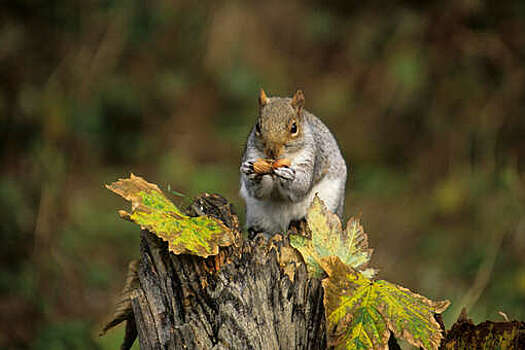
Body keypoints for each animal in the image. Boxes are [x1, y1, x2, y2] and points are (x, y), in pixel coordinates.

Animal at [239, 88, 346, 235]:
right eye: (258, 126)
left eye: (294, 128)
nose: (272, 152)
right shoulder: (252, 154)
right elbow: (257, 192)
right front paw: (252, 172)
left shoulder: (311, 157)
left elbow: (300, 188)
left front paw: (288, 175)